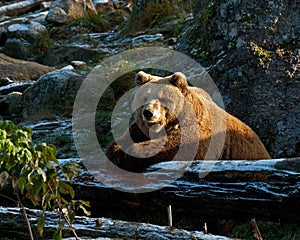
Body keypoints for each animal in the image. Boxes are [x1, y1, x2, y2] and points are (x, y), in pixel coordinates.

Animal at [106, 70, 270, 172]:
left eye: (162, 98)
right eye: (144, 97)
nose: (149, 113)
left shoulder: (199, 132)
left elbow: (174, 148)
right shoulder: (140, 130)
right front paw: (116, 150)